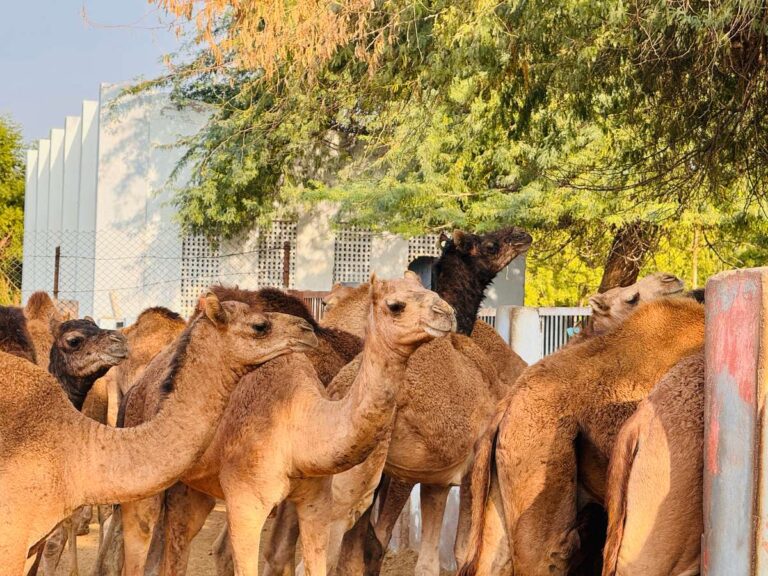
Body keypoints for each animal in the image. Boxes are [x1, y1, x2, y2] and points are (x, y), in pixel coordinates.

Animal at [118, 275, 454, 576]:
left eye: (430, 290)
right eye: (395, 305)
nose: (447, 313)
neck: (299, 426)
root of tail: (141, 382)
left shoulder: (316, 502)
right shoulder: (246, 503)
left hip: (194, 487)